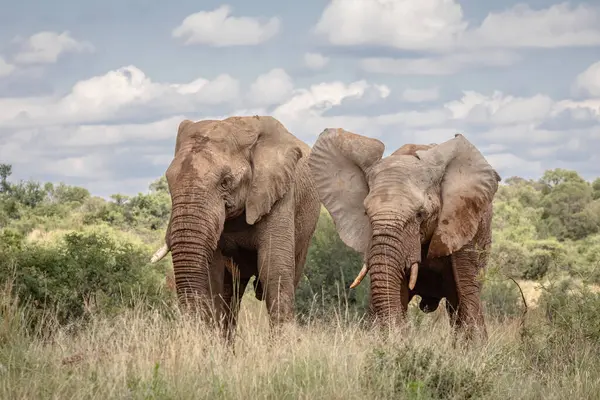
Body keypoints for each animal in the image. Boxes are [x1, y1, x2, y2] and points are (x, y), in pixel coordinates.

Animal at [149, 115, 322, 340]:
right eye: (169, 182)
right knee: (231, 291)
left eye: (225, 182)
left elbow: (273, 268)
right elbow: (213, 275)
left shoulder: (281, 194)